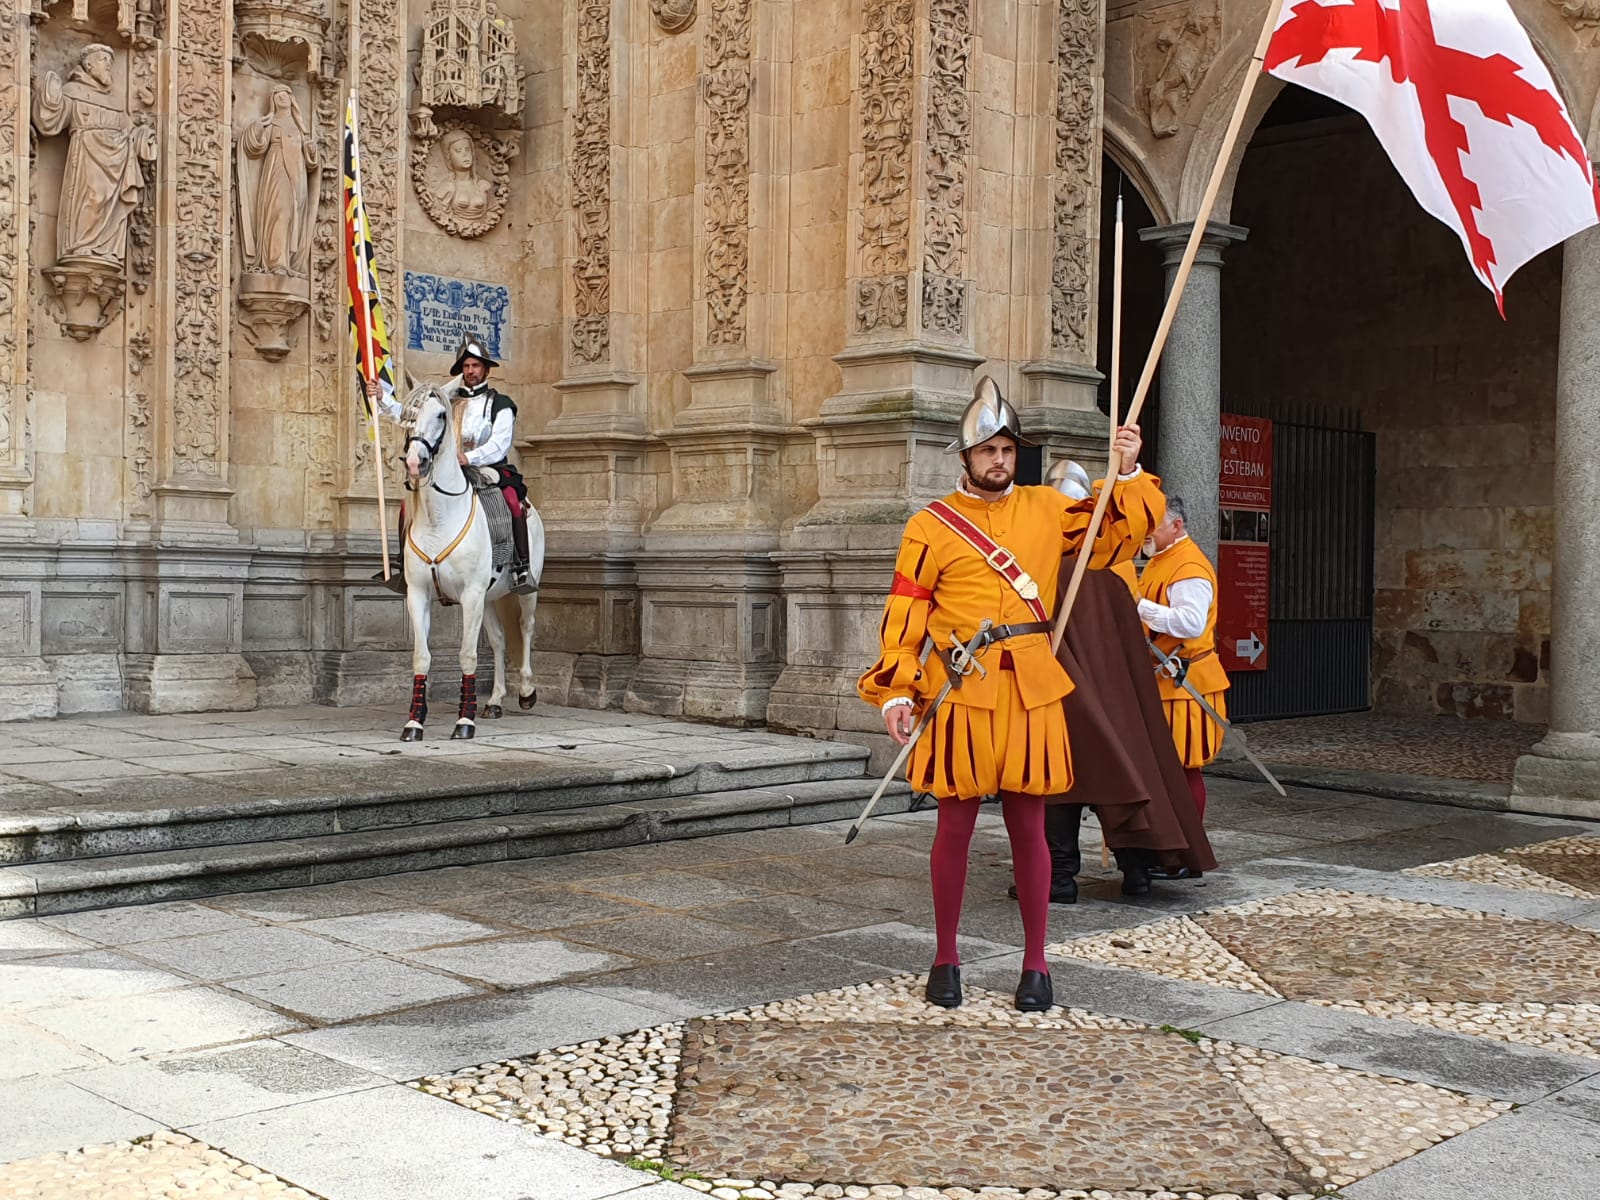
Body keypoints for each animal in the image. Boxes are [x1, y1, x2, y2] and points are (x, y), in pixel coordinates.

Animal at [396, 385, 547, 742]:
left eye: (440, 415)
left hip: (524, 591)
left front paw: (464, 721)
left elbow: (467, 654)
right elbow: (421, 657)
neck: (439, 518)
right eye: (407, 414)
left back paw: (526, 691)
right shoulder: (419, 594)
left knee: (526, 628)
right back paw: (494, 700)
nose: (415, 461)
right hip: (489, 599)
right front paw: (414, 722)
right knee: (498, 640)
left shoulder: (471, 595)